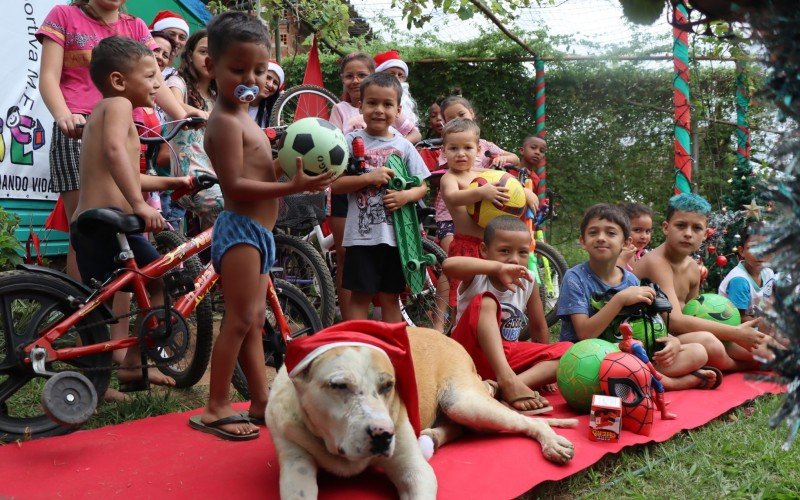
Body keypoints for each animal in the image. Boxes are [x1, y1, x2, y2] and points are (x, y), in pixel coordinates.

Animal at [268, 322, 576, 498]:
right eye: (339, 385)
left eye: (389, 386)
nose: (383, 436)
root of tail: (449, 338)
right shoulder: (295, 466)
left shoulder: (414, 470)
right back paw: (432, 437)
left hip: (463, 402)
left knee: (529, 422)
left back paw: (552, 443)